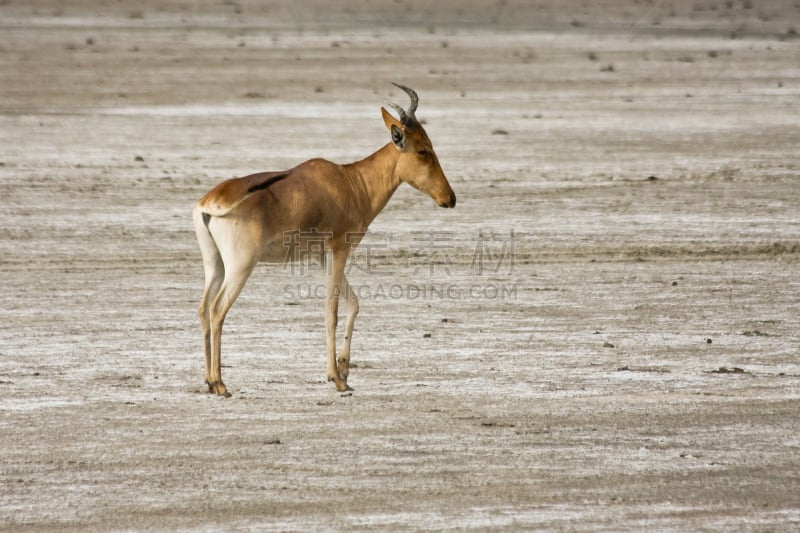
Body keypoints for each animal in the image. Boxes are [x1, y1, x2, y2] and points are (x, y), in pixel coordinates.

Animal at [192, 84, 456, 394]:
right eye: (423, 150)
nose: (449, 198)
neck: (349, 180)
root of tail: (212, 202)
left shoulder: (322, 256)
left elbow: (354, 304)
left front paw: (344, 370)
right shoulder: (339, 249)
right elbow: (332, 310)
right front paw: (336, 378)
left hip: (215, 264)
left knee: (203, 308)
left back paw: (209, 380)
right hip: (241, 266)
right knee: (217, 309)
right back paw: (220, 383)